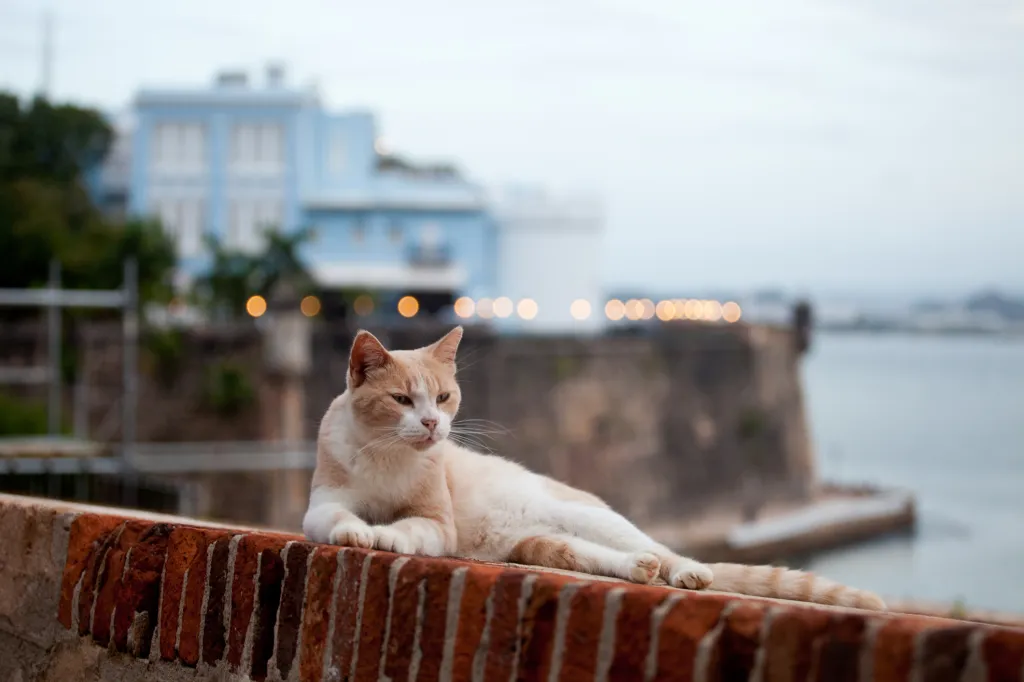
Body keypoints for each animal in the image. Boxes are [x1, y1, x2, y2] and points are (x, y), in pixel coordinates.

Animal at [303, 327, 888, 606]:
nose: (431, 425)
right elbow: (337, 520)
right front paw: (358, 531)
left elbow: (409, 527)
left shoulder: (437, 523)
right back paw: (638, 571)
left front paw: (388, 535)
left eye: (444, 398)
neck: (390, 456)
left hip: (589, 515)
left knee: (661, 549)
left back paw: (685, 571)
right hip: (544, 545)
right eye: (402, 400)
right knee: (612, 560)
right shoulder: (320, 507)